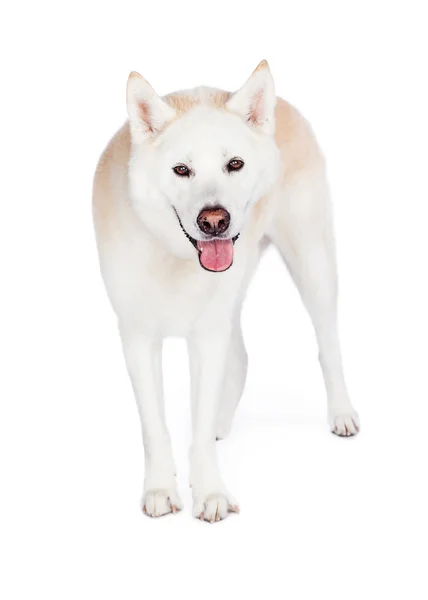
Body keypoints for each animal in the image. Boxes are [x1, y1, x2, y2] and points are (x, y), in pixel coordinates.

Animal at [93, 58, 358, 524]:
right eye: (182, 170)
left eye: (234, 164)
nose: (214, 220)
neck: (174, 255)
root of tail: (284, 105)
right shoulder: (138, 338)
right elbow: (154, 427)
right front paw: (160, 490)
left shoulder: (206, 336)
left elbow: (197, 430)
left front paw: (210, 492)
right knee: (240, 357)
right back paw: (221, 421)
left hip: (313, 264)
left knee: (328, 345)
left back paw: (341, 413)